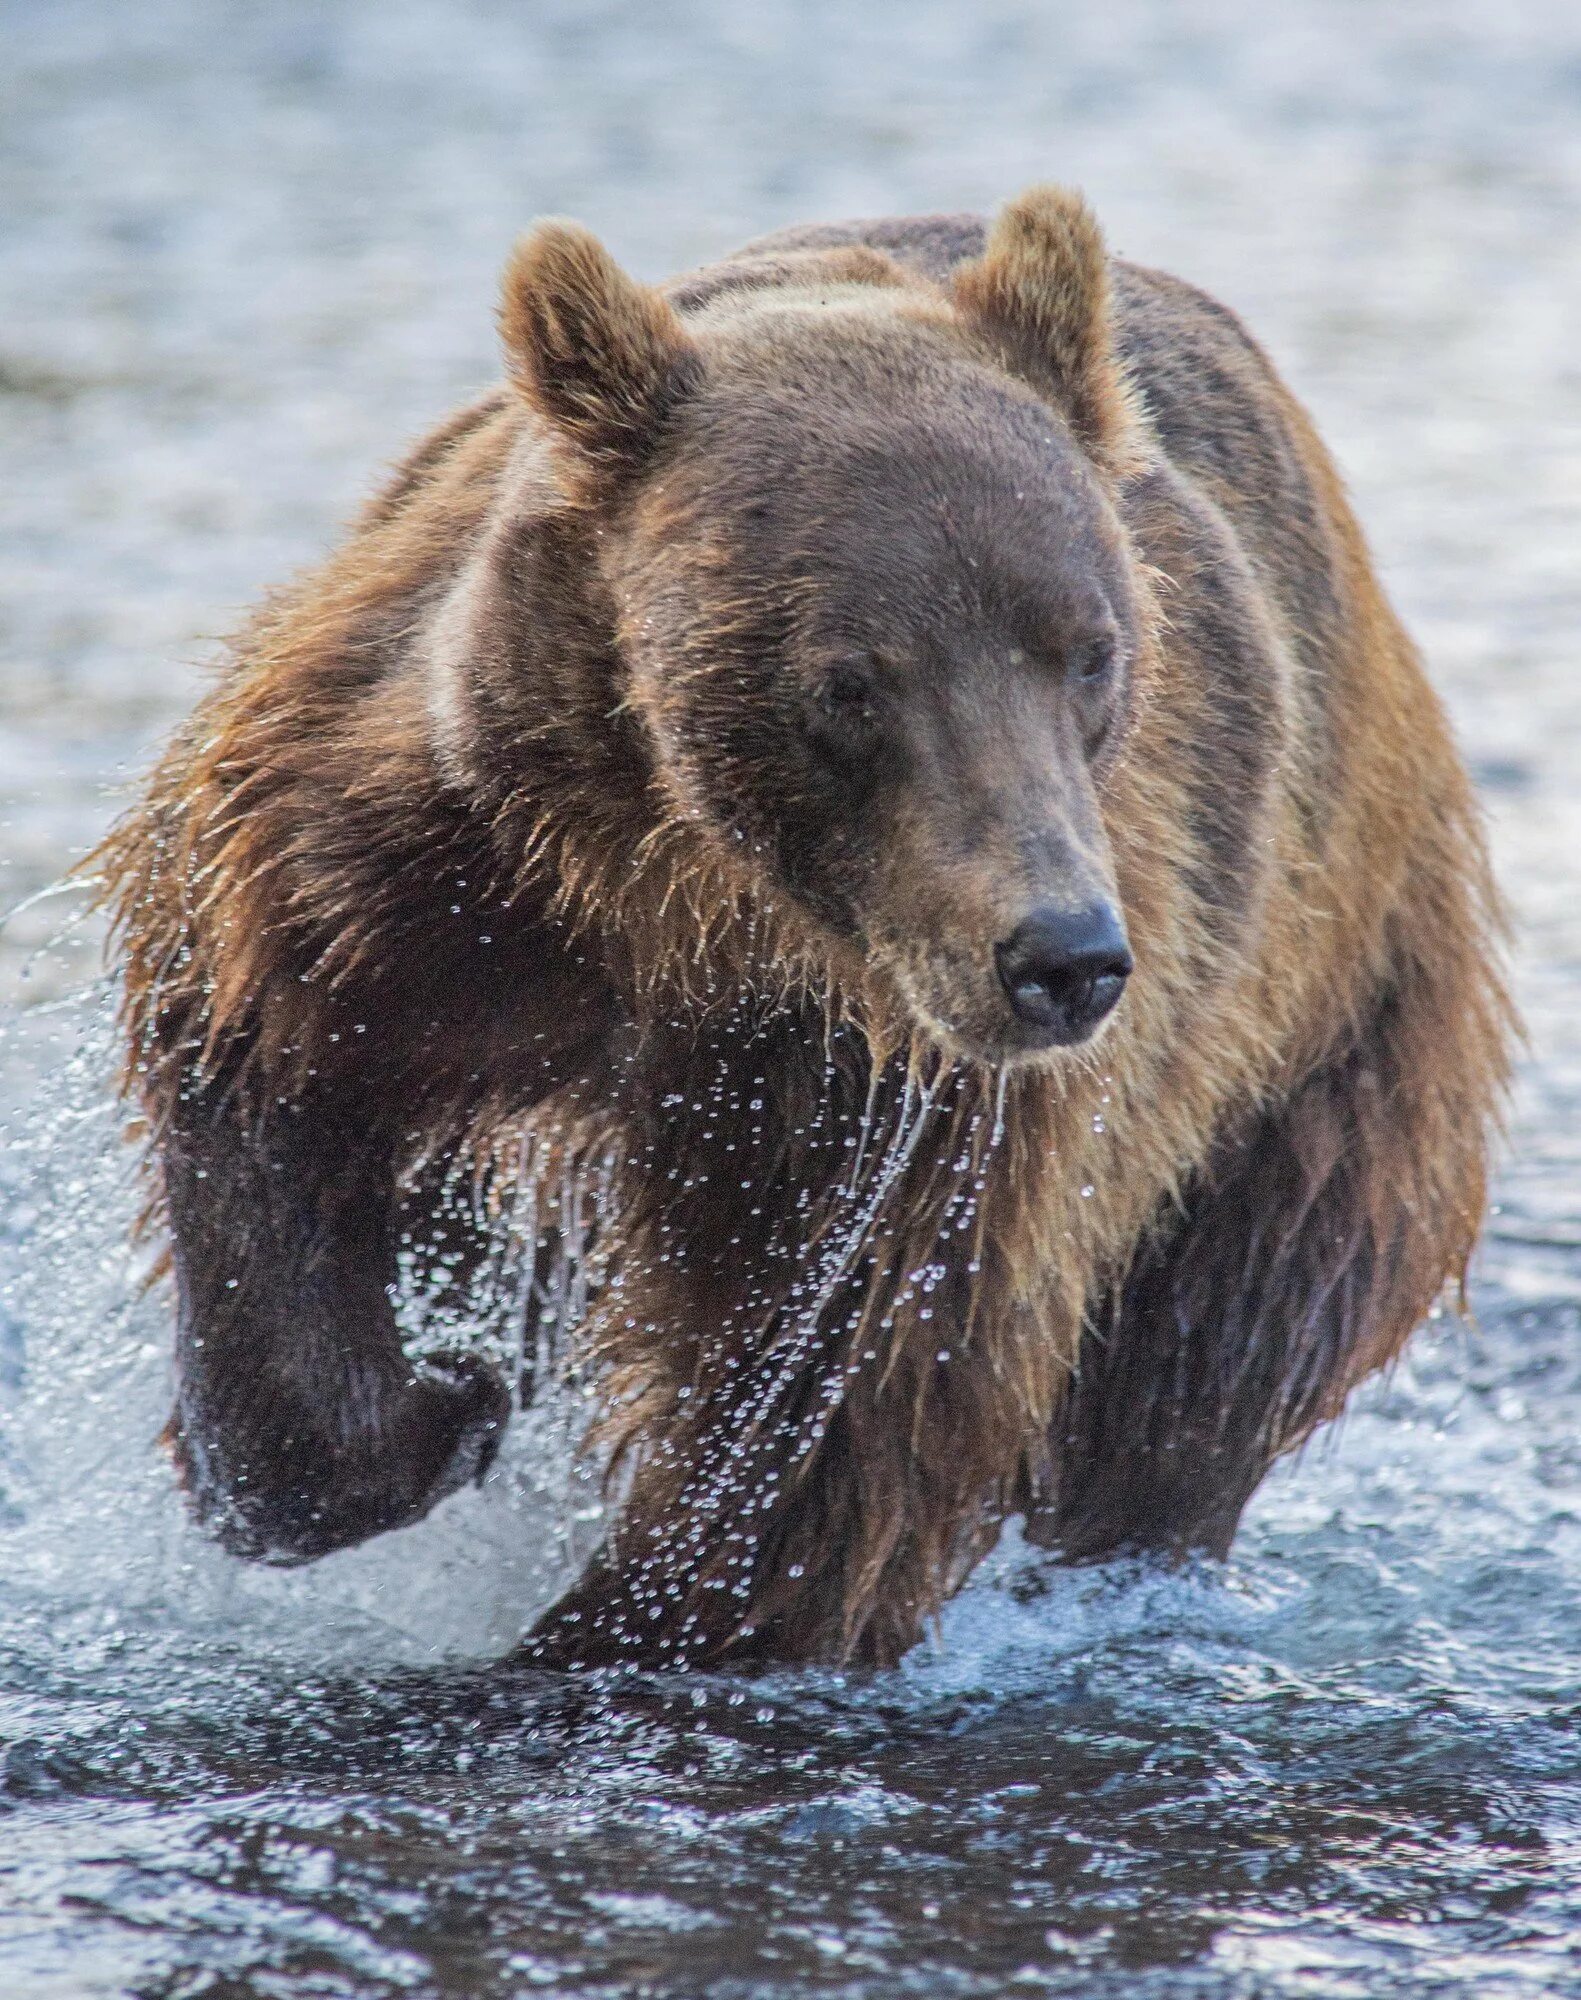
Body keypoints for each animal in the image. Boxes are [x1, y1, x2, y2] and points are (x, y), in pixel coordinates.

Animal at [93, 188, 1512, 1664]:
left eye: (1091, 649)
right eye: (851, 684)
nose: (1062, 959)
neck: (693, 905)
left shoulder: (909, 1100)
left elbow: (838, 1397)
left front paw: (627, 1617)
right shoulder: (406, 858)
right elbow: (256, 1052)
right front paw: (432, 1412)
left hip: (1324, 1029)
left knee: (1214, 1349)